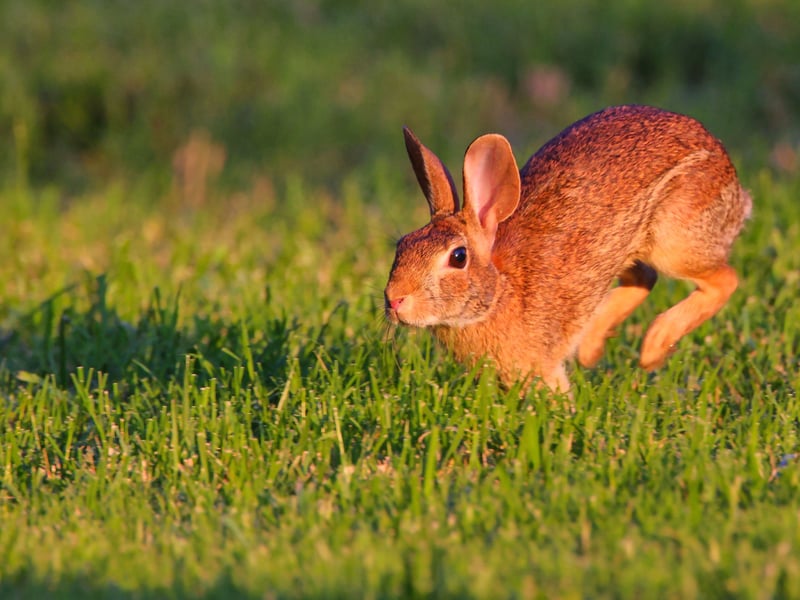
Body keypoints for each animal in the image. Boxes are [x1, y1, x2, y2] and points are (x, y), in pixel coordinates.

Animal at [384, 105, 751, 393]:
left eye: (458, 257)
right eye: (403, 245)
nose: (394, 299)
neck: (500, 290)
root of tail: (730, 174)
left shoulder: (541, 367)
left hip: (673, 240)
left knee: (724, 280)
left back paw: (652, 347)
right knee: (645, 278)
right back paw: (592, 348)